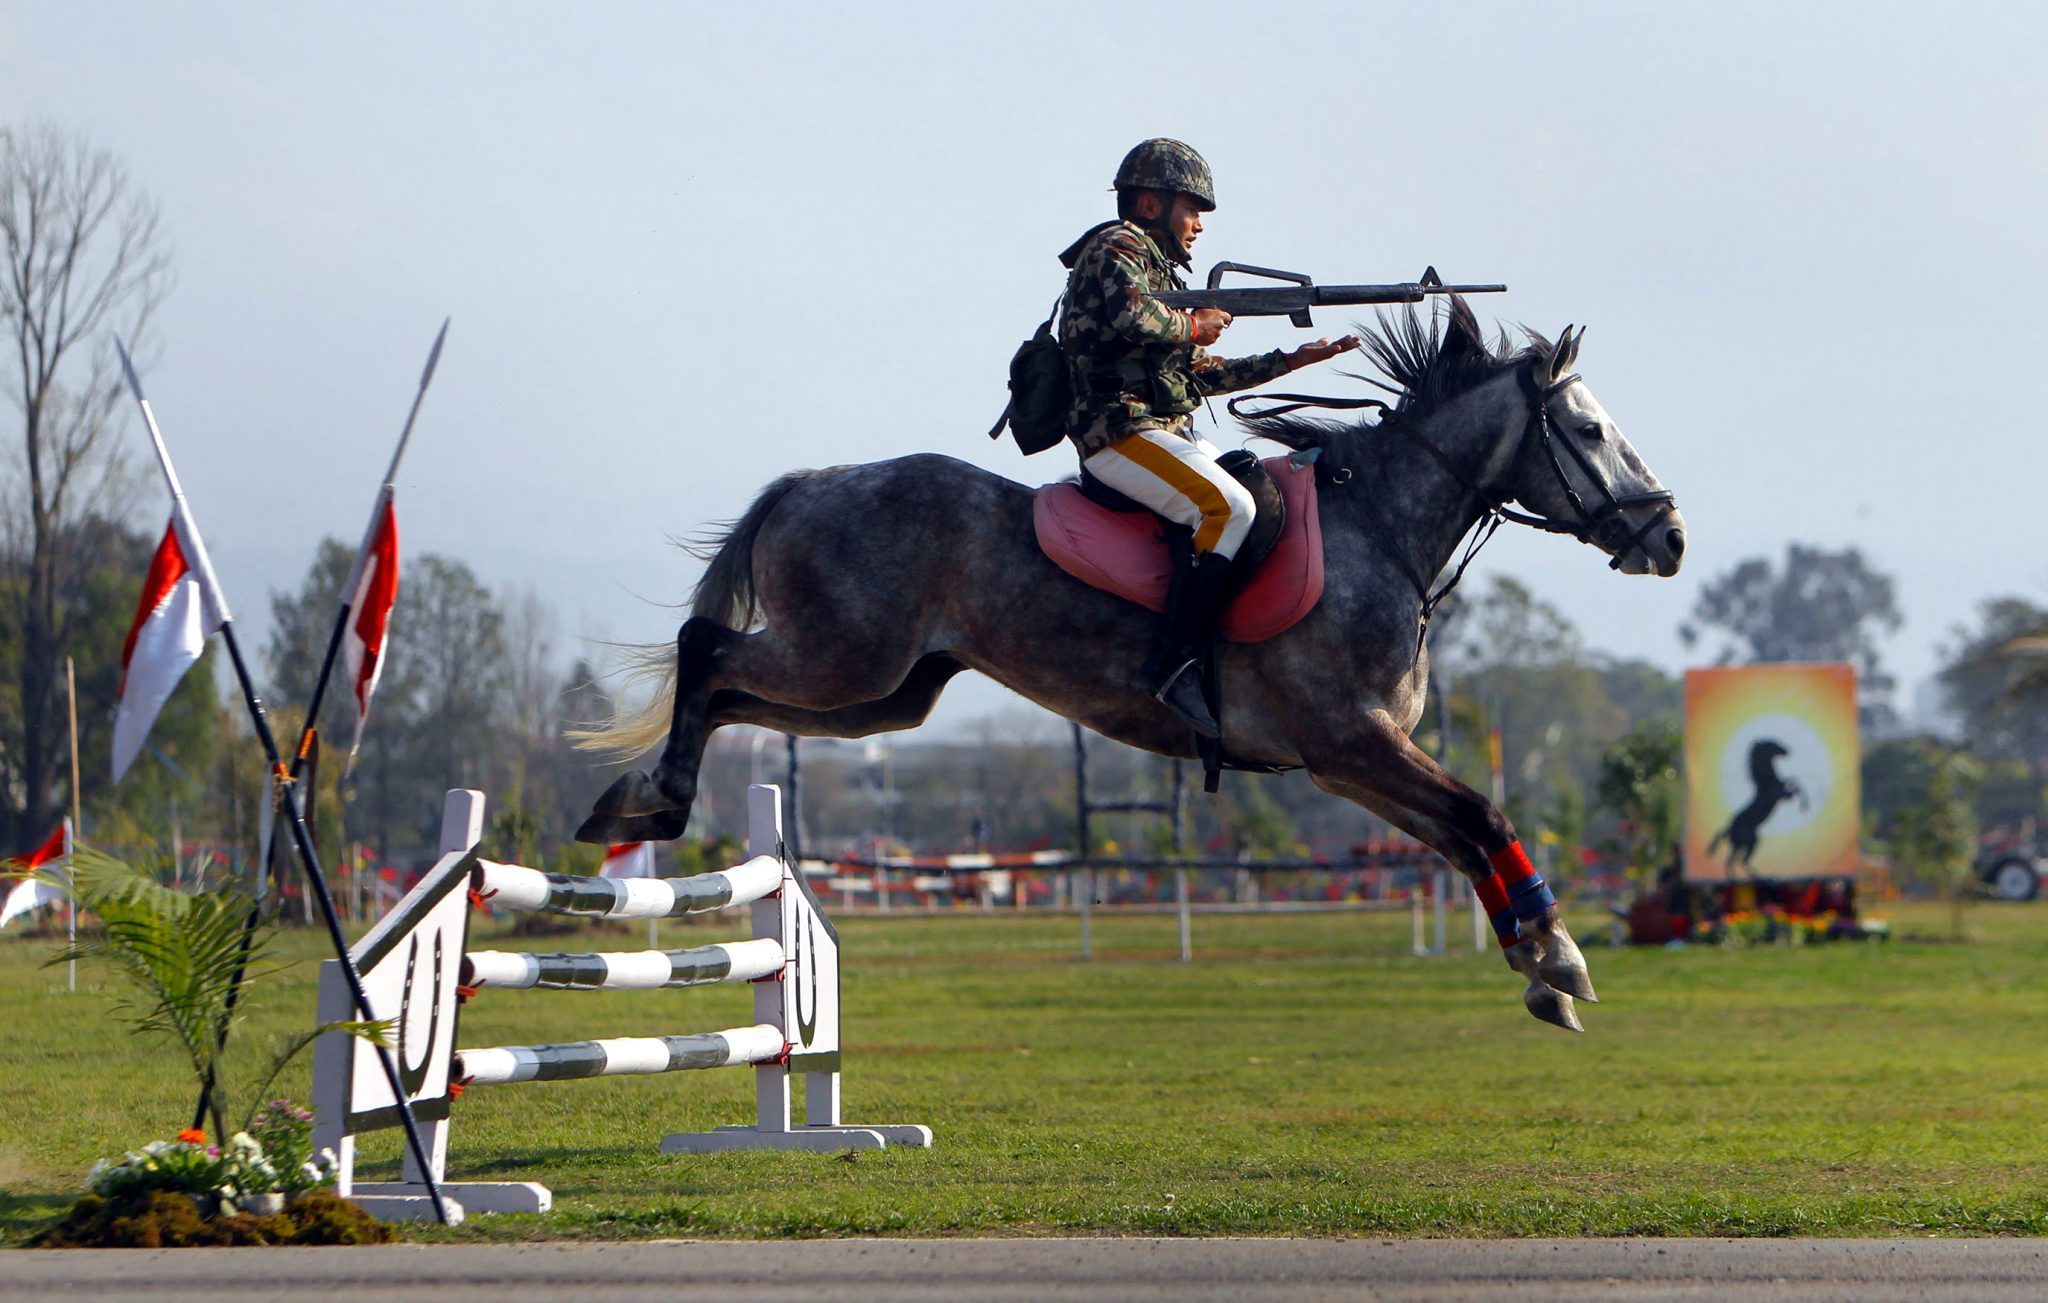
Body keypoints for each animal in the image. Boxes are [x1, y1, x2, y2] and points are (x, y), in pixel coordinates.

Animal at [573, 301, 1679, 1032]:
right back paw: (654, 800)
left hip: (879, 698)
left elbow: (1463, 835)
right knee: (706, 652)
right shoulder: (1350, 738)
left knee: (727, 689)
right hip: (843, 660)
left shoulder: (1346, 762)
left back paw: (639, 799)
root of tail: (809, 482)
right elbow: (1482, 816)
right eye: (1588, 430)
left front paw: (1539, 962)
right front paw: (1561, 956)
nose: (1665, 536)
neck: (1379, 527)